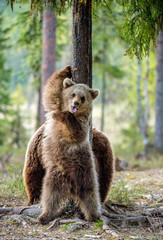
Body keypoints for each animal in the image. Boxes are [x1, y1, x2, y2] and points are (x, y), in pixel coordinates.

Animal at [23, 65, 114, 223]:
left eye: (83, 97)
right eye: (73, 94)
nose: (75, 103)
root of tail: (72, 185)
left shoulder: (83, 123)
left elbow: (77, 132)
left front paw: (65, 116)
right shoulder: (57, 104)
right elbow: (51, 93)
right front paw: (67, 70)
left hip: (88, 172)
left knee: (92, 196)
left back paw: (94, 215)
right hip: (55, 176)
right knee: (50, 196)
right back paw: (45, 215)